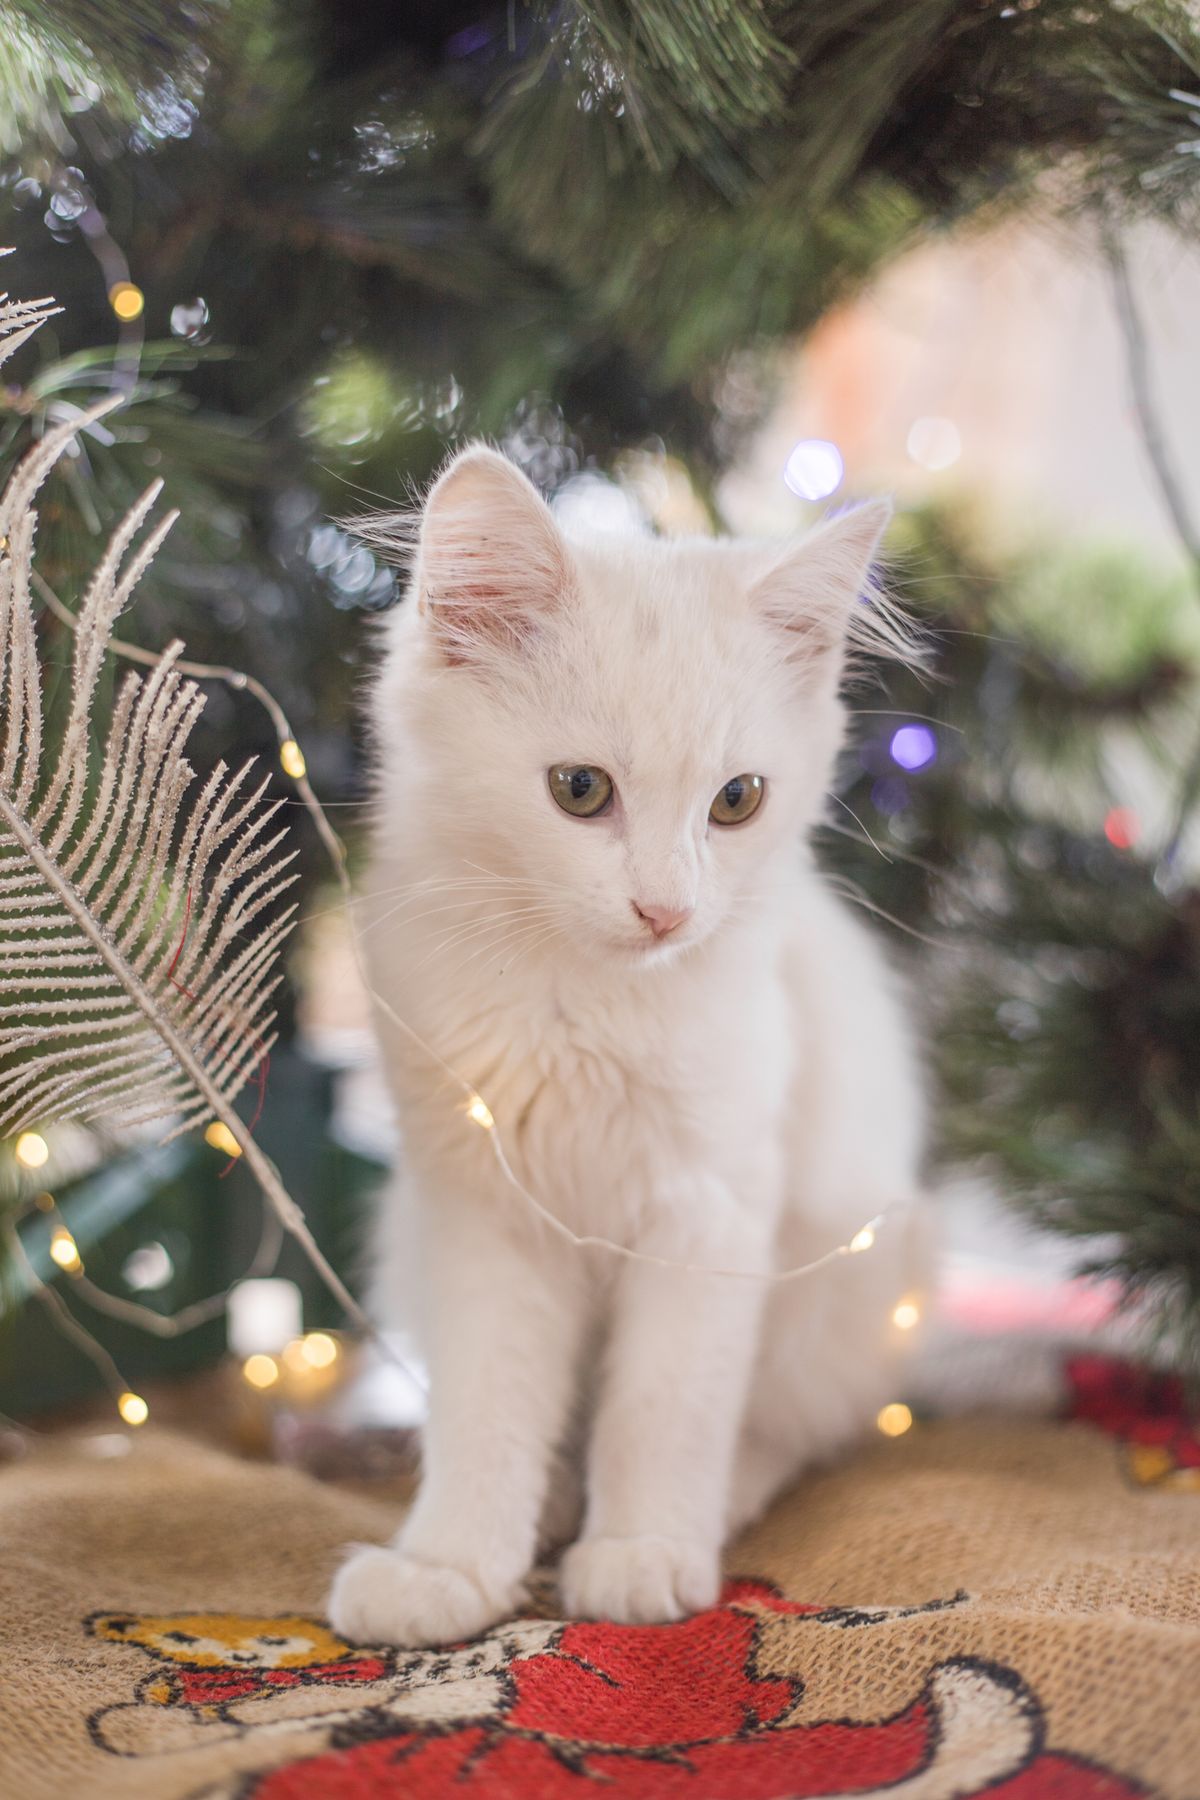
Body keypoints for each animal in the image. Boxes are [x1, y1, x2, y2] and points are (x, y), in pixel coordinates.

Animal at [329, 446, 928, 1648]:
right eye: (580, 791)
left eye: (737, 801)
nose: (667, 910)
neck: (585, 1005)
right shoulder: (480, 1206)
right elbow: (487, 1408)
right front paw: (451, 1568)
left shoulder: (710, 1207)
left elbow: (664, 1408)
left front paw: (642, 1551)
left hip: (853, 1274)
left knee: (785, 1429)